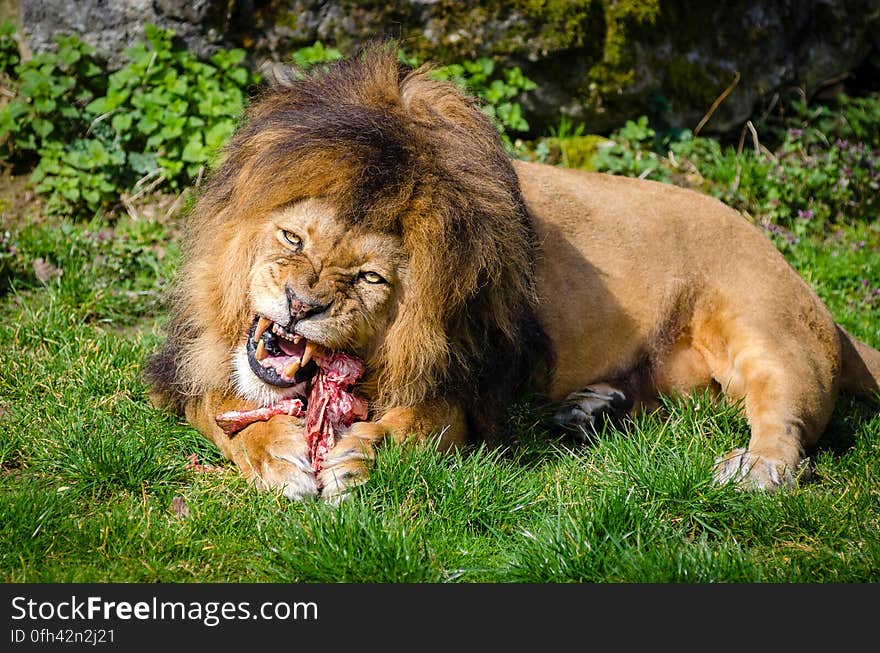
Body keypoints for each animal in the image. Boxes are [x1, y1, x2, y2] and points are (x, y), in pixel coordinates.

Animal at [144, 48, 880, 502]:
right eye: (292, 238)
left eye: (370, 279)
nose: (299, 305)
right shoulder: (187, 368)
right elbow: (225, 415)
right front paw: (279, 457)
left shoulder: (466, 389)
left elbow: (412, 425)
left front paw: (359, 456)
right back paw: (589, 409)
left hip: (767, 331)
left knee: (786, 422)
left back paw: (754, 468)